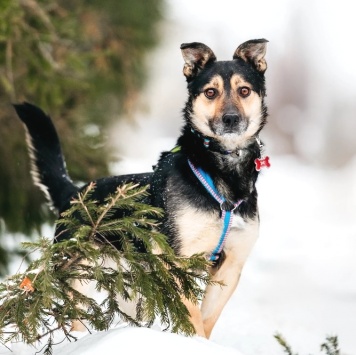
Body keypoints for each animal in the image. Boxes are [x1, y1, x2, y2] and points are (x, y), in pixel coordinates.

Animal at [13, 39, 270, 340]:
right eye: (210, 92)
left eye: (244, 91)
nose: (230, 119)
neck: (222, 172)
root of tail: (74, 195)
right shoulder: (178, 262)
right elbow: (193, 318)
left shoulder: (231, 265)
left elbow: (206, 321)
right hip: (76, 279)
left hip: (132, 288)